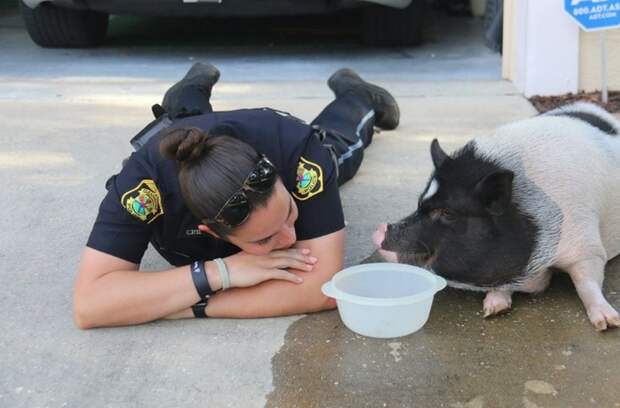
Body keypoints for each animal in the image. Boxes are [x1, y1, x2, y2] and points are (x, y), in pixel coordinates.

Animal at [372, 103, 620, 332]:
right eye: (420, 204)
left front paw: (607, 323)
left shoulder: (588, 247)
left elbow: (586, 282)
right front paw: (492, 309)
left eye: (448, 213)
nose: (379, 230)